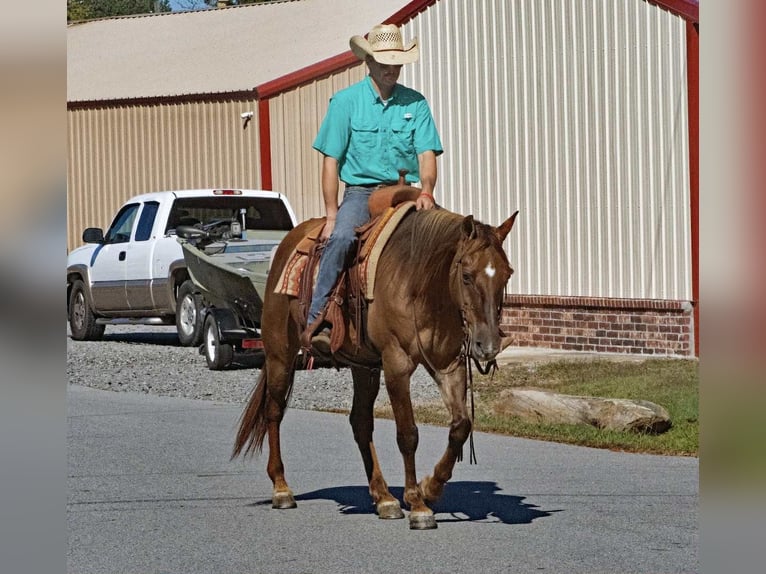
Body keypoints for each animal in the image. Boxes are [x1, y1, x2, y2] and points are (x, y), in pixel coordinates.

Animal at [232, 205, 518, 529]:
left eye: (507, 274)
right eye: (467, 276)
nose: (488, 345)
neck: (420, 283)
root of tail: (288, 242)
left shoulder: (447, 365)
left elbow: (461, 426)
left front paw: (430, 488)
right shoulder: (396, 365)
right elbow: (407, 434)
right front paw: (418, 505)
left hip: (364, 367)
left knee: (360, 422)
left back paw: (384, 498)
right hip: (280, 353)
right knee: (274, 412)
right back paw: (281, 489)